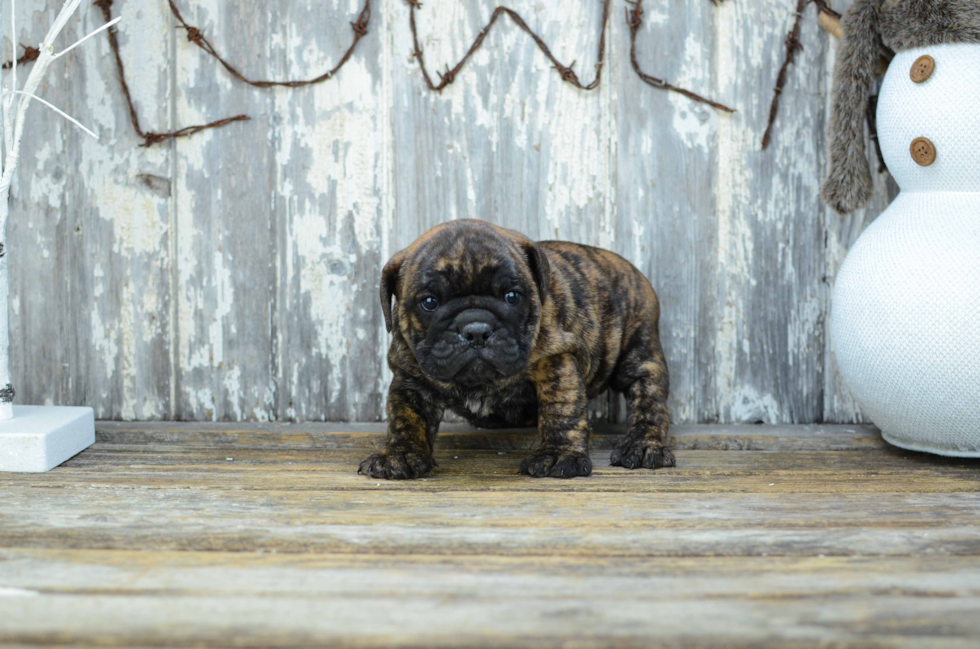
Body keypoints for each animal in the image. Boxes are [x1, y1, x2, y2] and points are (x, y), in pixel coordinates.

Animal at [360, 220, 672, 478]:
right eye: (429, 302)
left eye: (512, 296)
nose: (476, 330)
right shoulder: (410, 379)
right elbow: (406, 419)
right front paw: (399, 455)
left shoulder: (556, 361)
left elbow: (561, 410)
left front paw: (558, 455)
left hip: (639, 354)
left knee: (649, 400)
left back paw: (643, 445)